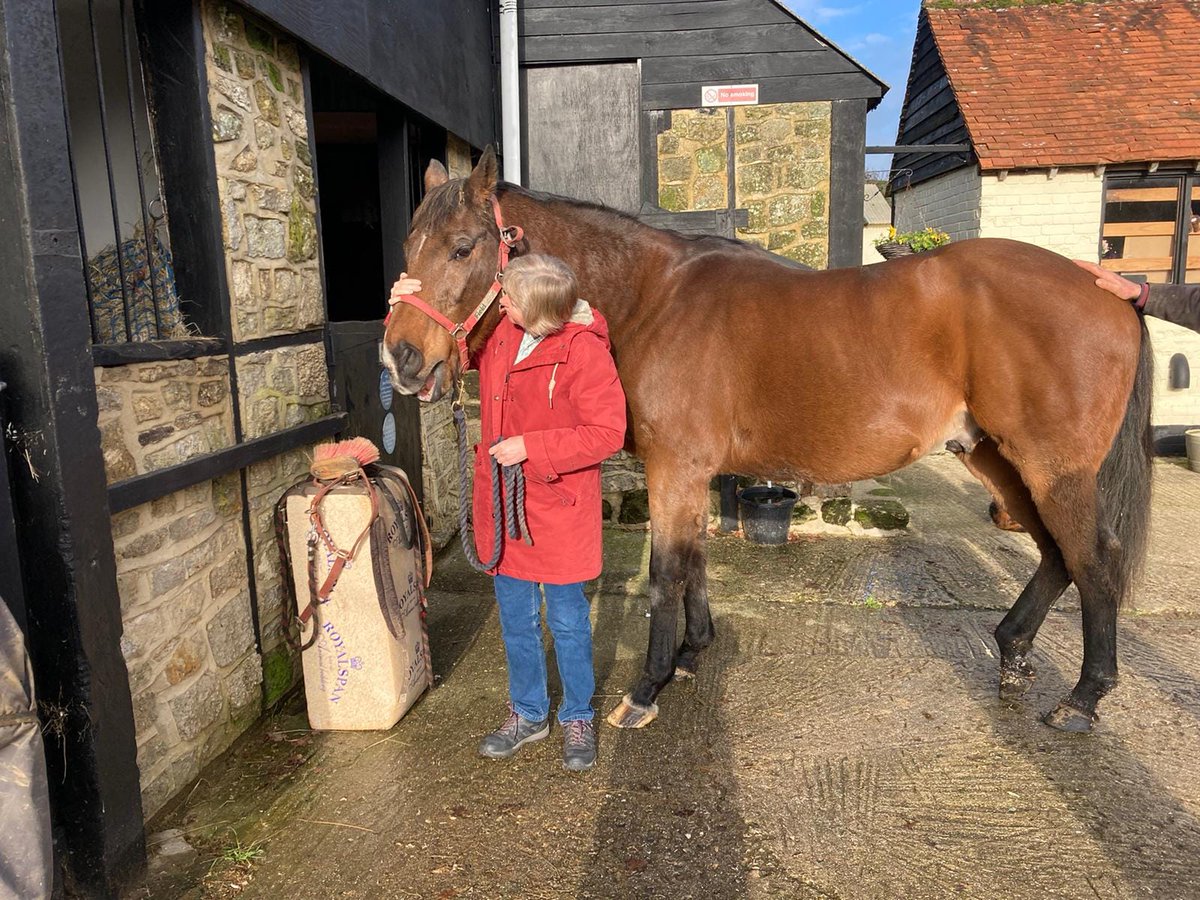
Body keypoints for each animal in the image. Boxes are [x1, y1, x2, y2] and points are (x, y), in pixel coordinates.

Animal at [383, 146, 1152, 734]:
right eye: (407, 247)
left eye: (462, 248)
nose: (403, 359)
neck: (653, 298)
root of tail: (1107, 289)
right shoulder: (689, 471)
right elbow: (694, 566)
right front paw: (693, 654)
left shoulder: (676, 468)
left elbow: (667, 573)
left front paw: (647, 687)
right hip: (997, 456)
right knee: (1056, 552)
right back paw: (1013, 650)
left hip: (1052, 465)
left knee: (1095, 559)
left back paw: (1083, 698)